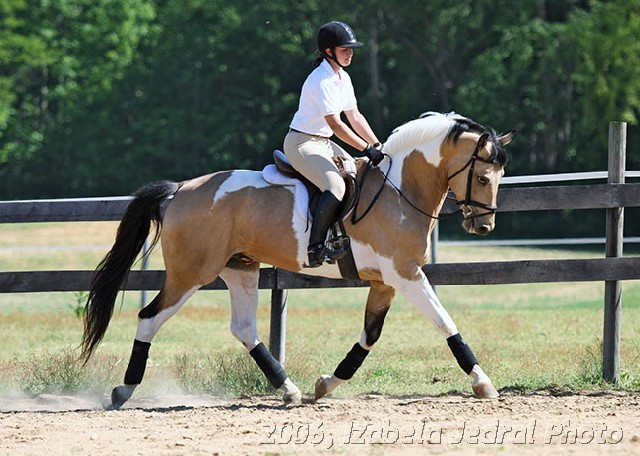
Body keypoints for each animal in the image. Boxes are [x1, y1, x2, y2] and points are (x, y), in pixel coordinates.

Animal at [80, 112, 516, 408]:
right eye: (482, 177)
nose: (484, 226)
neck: (399, 190)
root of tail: (179, 190)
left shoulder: (386, 281)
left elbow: (369, 336)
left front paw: (325, 385)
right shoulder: (406, 274)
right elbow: (446, 323)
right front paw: (483, 383)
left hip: (240, 268)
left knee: (244, 328)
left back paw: (288, 390)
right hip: (191, 274)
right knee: (150, 318)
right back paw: (123, 390)